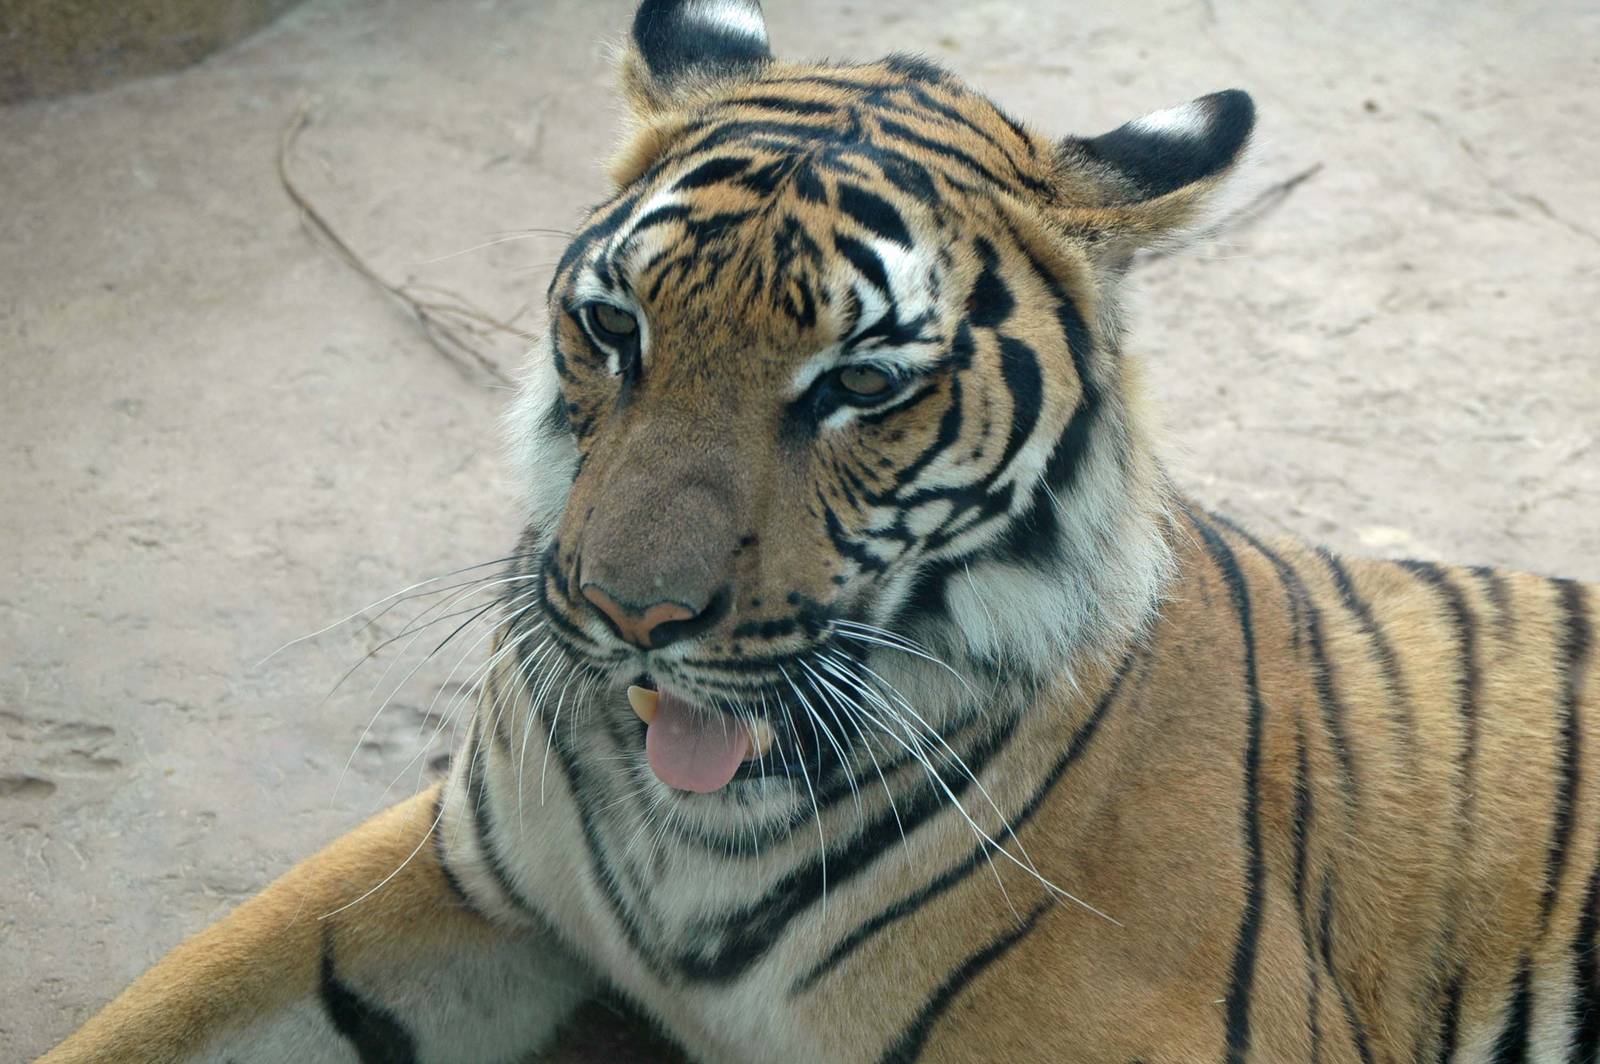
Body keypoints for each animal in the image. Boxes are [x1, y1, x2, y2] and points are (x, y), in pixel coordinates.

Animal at [40, 0, 1599, 1061]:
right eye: (616, 326)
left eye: (858, 386)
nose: (629, 618)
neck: (696, 828)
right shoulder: (458, 876)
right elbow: (160, 1011)